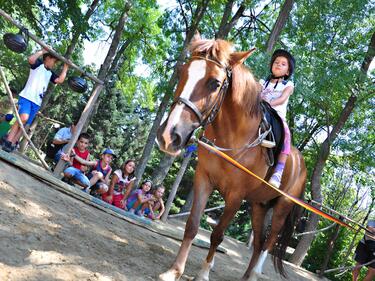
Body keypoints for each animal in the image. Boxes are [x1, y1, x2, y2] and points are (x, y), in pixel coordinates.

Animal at [157, 35, 306, 280]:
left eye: (215, 83)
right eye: (182, 72)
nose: (169, 135)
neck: (232, 136)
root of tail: (301, 165)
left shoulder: (236, 196)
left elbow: (217, 234)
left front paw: (203, 273)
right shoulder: (203, 179)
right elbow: (192, 225)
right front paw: (174, 270)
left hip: (281, 208)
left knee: (268, 243)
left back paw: (254, 274)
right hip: (259, 205)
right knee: (258, 243)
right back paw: (247, 276)